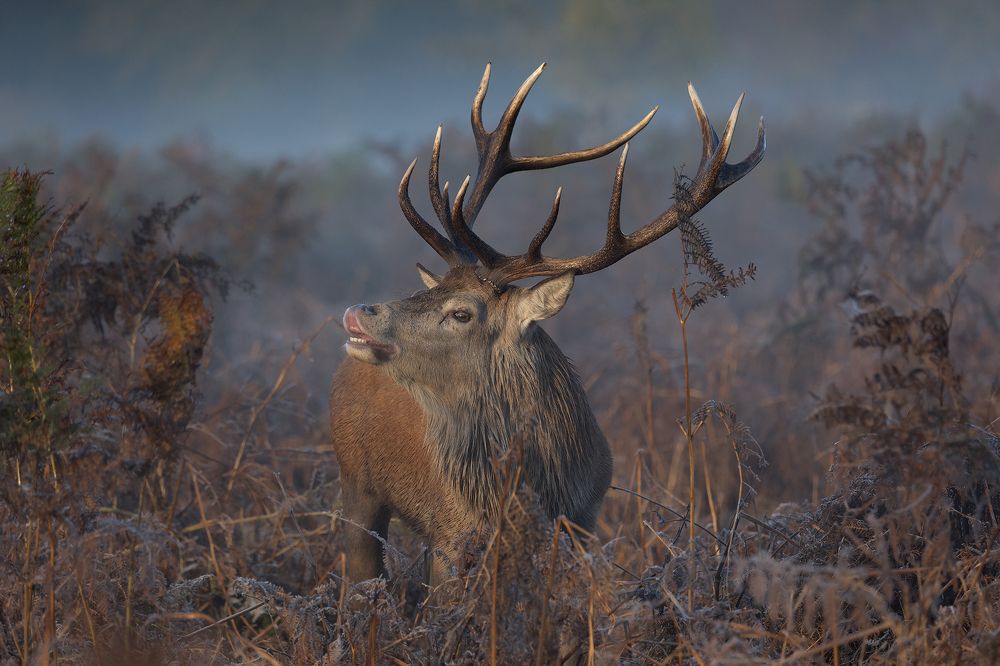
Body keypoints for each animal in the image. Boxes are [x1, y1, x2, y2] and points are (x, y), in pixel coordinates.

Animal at [330, 63, 764, 583]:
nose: (359, 312)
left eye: (461, 312)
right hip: (354, 480)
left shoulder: (583, 522)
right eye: (429, 294)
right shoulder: (449, 536)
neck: (537, 489)